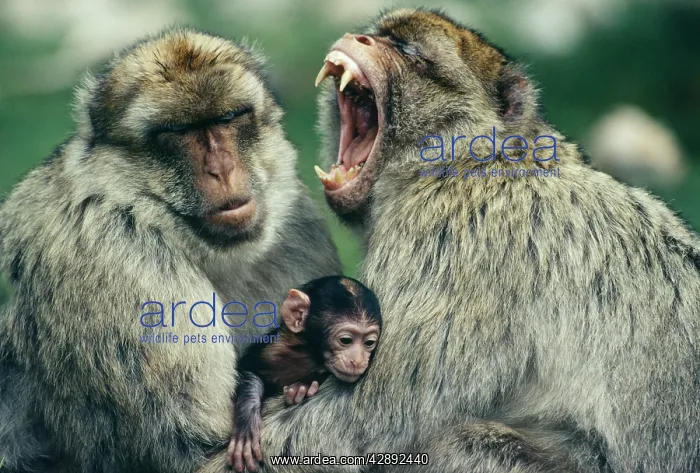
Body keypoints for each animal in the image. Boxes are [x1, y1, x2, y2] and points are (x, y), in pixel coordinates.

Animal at [0, 28, 341, 473]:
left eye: (228, 117)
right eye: (178, 131)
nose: (222, 169)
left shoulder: (298, 231)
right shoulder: (119, 268)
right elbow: (193, 453)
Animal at [227, 275, 382, 472]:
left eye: (369, 343)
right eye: (346, 340)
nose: (359, 361)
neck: (308, 353)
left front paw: (303, 386)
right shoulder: (273, 348)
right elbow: (250, 371)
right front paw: (246, 424)